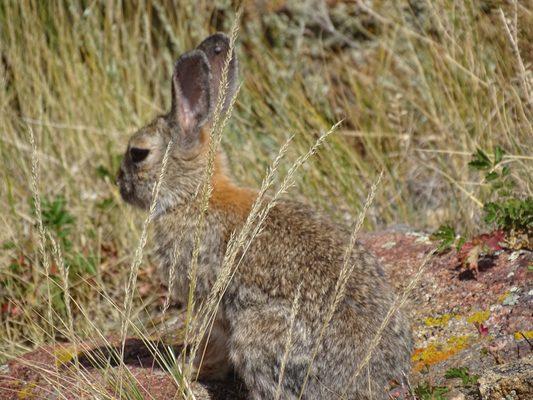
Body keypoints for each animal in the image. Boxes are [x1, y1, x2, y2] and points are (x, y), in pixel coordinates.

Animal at [117, 32, 412, 400]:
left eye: (138, 153)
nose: (119, 184)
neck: (193, 196)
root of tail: (373, 381)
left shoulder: (210, 302)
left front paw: (190, 369)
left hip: (258, 336)